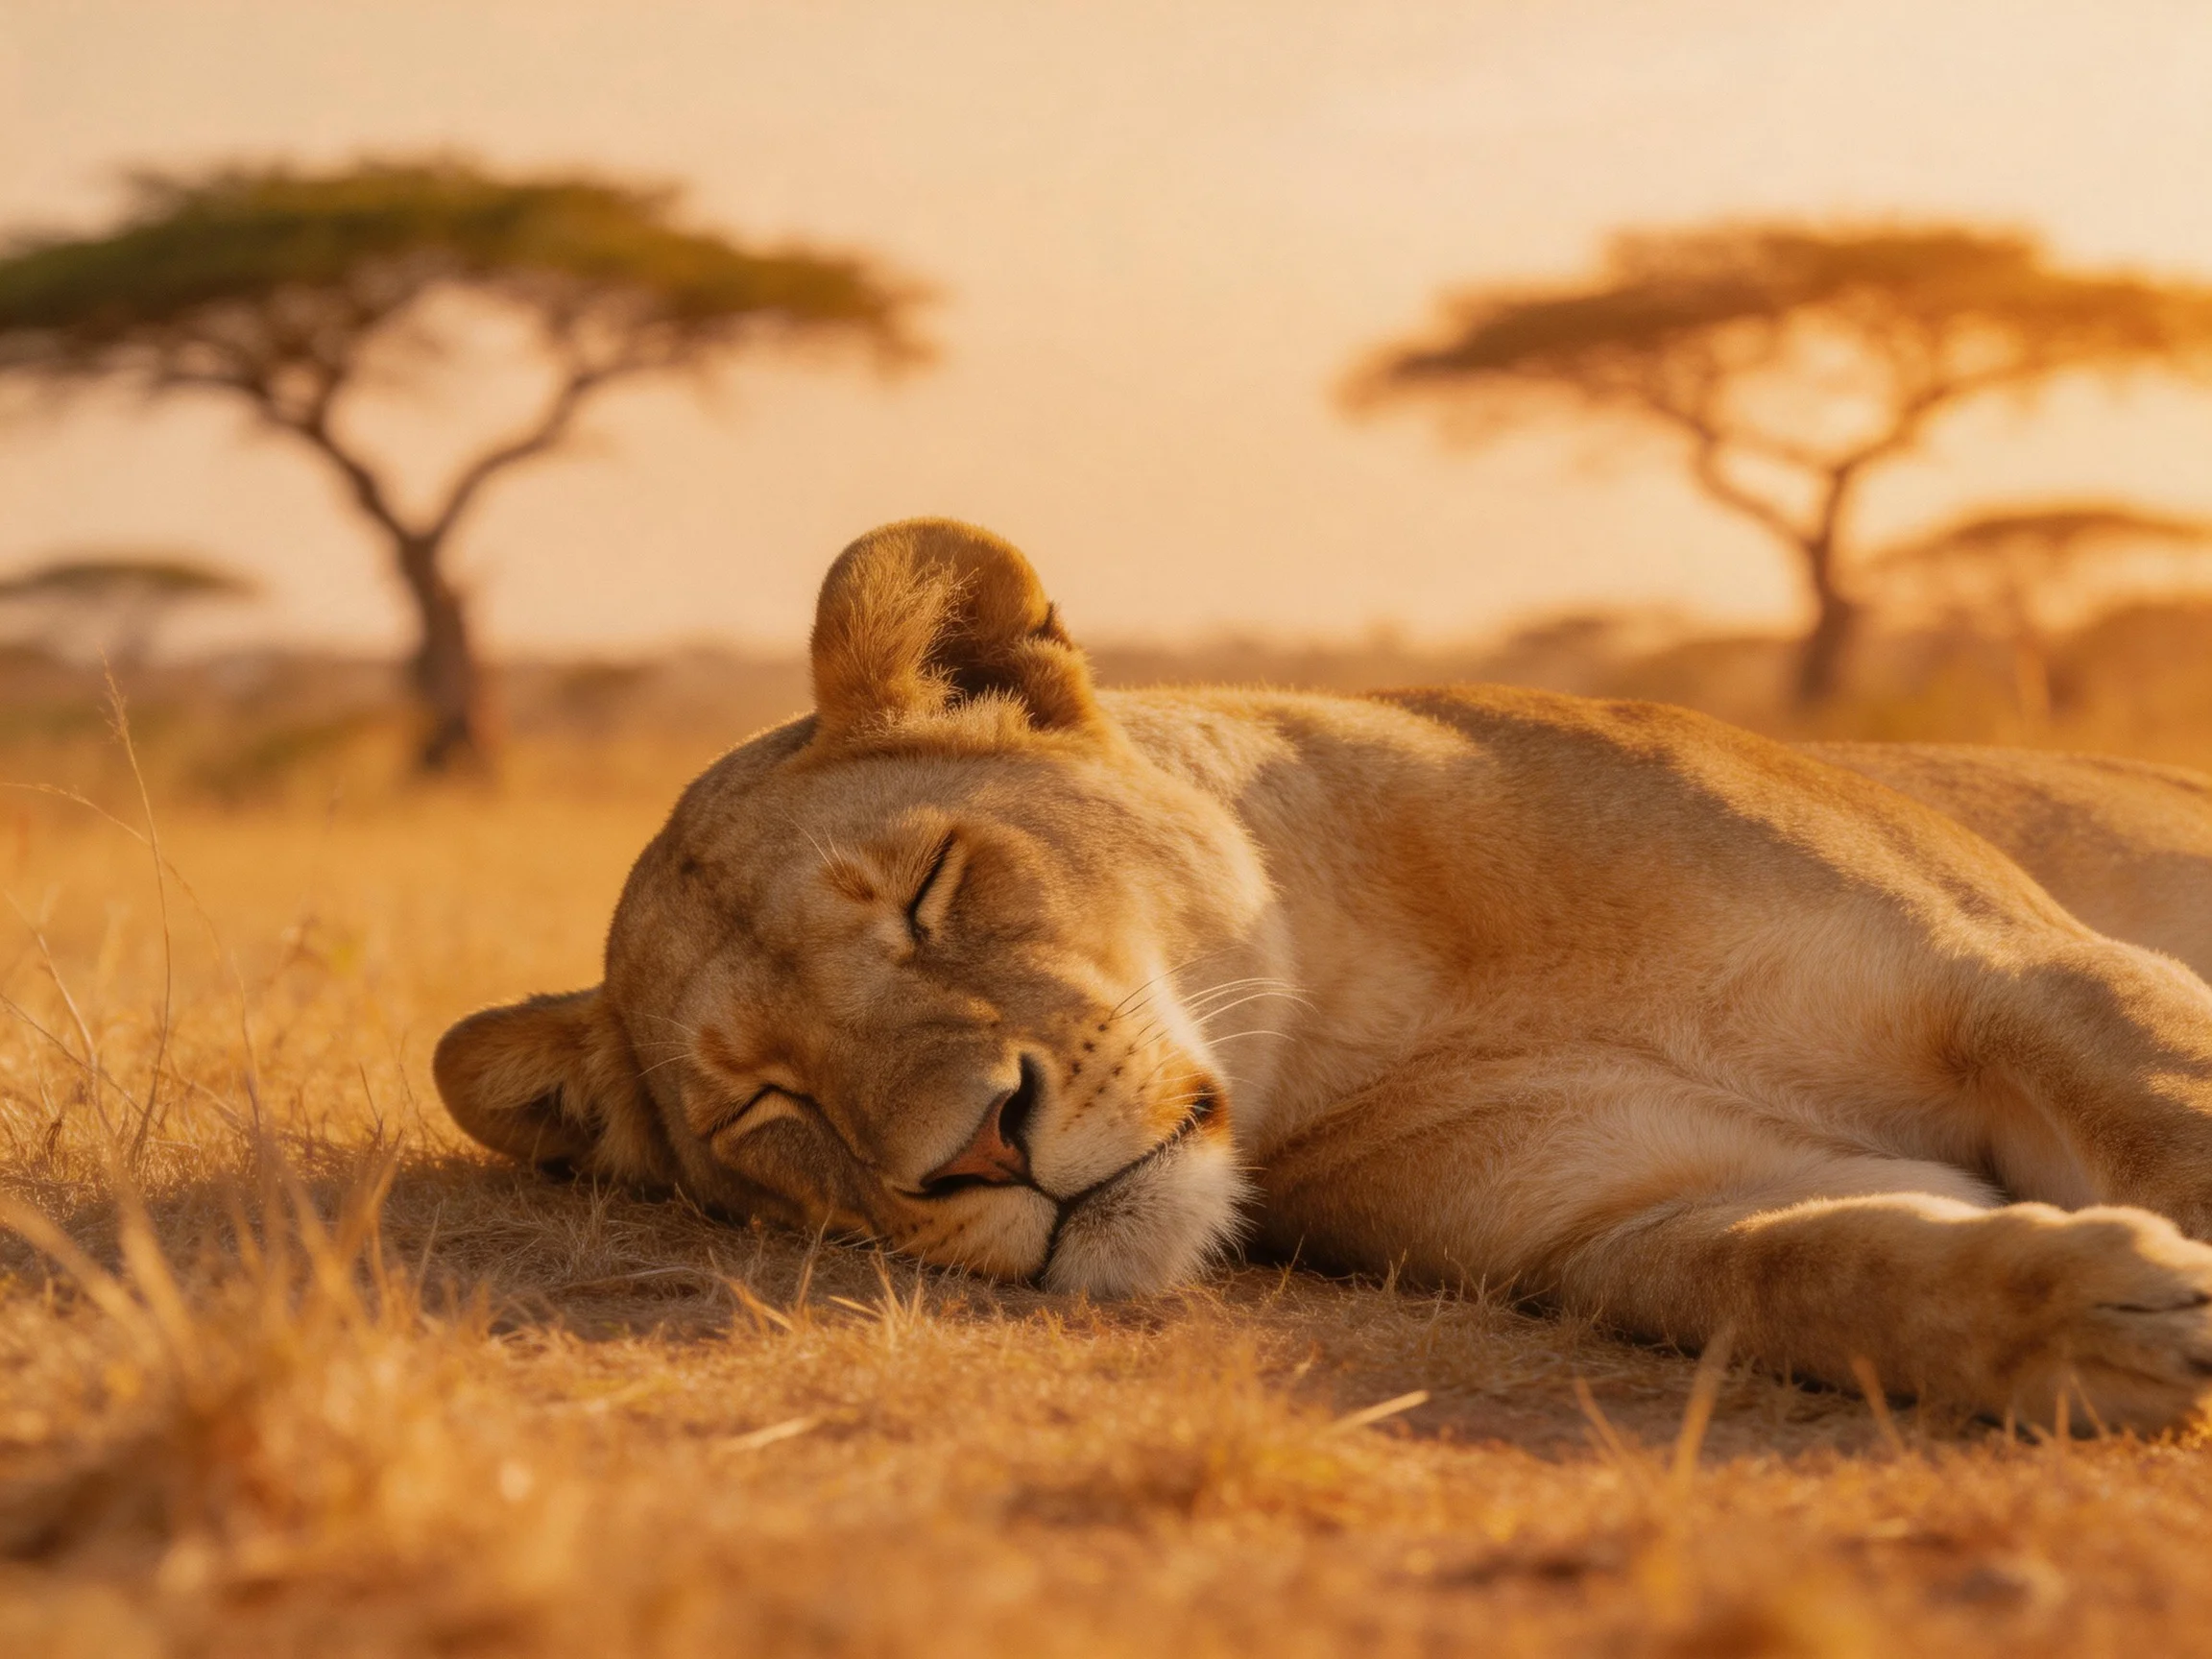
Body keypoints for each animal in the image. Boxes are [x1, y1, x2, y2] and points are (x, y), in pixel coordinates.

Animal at [436, 518, 2212, 1431]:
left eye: (930, 893)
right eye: (763, 1110)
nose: (978, 1147)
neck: (1389, 1003)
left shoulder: (2023, 972)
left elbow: (2165, 1114)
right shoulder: (1626, 1209)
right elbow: (1818, 1270)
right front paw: (2111, 1320)